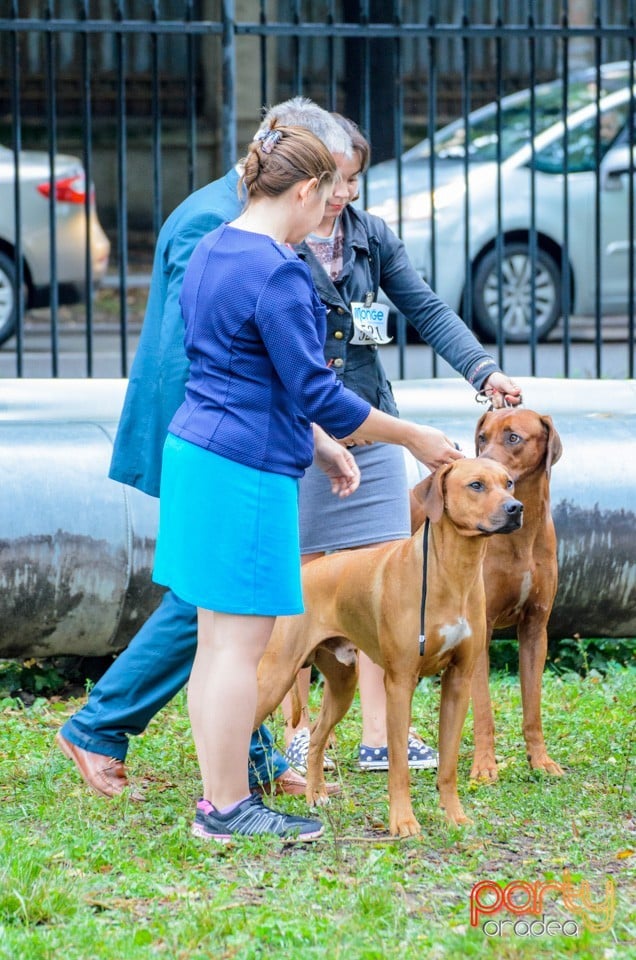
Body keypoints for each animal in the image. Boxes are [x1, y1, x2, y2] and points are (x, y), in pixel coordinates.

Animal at [253, 456, 520, 832]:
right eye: (476, 485)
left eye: (509, 483)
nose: (516, 508)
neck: (454, 572)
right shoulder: (399, 682)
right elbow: (399, 768)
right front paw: (403, 822)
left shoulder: (459, 680)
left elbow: (449, 765)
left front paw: (454, 815)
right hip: (275, 676)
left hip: (342, 684)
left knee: (318, 736)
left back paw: (315, 795)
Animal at [410, 408, 564, 784]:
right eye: (482, 438)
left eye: (513, 437)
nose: (482, 462)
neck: (521, 537)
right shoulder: (482, 630)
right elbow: (483, 711)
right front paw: (484, 766)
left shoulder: (536, 627)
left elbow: (533, 707)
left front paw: (540, 760)